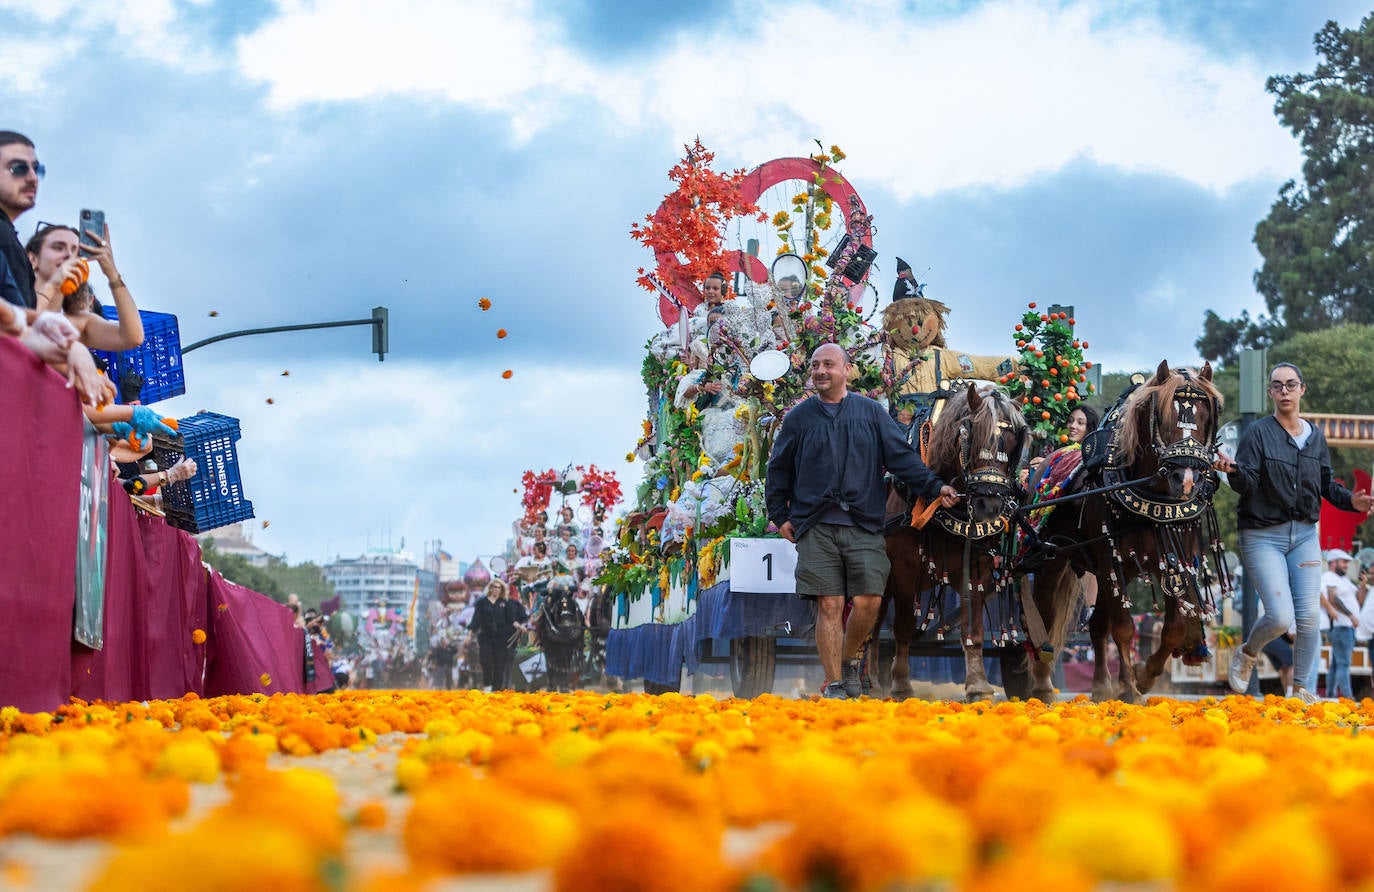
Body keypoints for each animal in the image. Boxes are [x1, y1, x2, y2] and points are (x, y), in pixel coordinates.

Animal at [884, 379, 1027, 698]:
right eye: (972, 436)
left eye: (1014, 443)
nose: (989, 505)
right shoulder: (903, 568)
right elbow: (902, 626)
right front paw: (900, 684)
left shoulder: (976, 566)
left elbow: (972, 629)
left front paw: (978, 684)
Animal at [1027, 357, 1231, 698]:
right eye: (1163, 416)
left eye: (1206, 417)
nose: (1186, 480)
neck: (1151, 493)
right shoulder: (1113, 560)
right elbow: (1123, 628)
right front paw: (1131, 690)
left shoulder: (1176, 558)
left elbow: (1174, 628)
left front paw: (1142, 675)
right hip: (1052, 558)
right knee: (1044, 613)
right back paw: (1042, 683)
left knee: (1097, 625)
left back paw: (1100, 685)